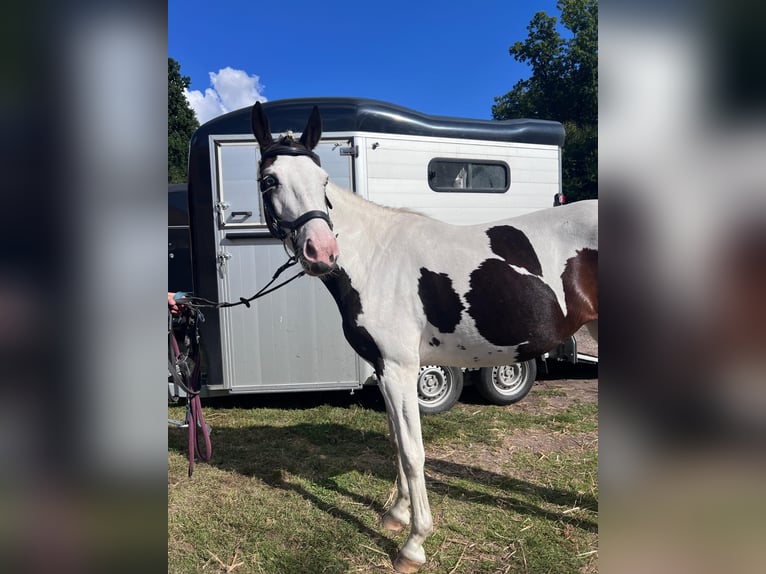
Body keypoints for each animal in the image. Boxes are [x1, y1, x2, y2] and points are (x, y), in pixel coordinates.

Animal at [250, 101, 598, 573]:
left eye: (323, 181)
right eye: (270, 180)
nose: (322, 251)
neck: (374, 259)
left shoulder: (401, 369)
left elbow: (414, 452)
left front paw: (414, 544)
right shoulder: (383, 369)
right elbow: (398, 442)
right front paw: (396, 515)